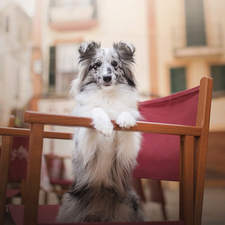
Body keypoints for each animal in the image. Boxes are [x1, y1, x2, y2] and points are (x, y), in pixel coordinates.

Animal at [55, 41, 145, 222]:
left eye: (115, 64)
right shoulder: (85, 146)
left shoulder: (126, 150)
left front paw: (125, 120)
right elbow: (96, 110)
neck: (107, 95)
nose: (107, 78)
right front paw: (105, 126)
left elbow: (126, 115)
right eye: (96, 65)